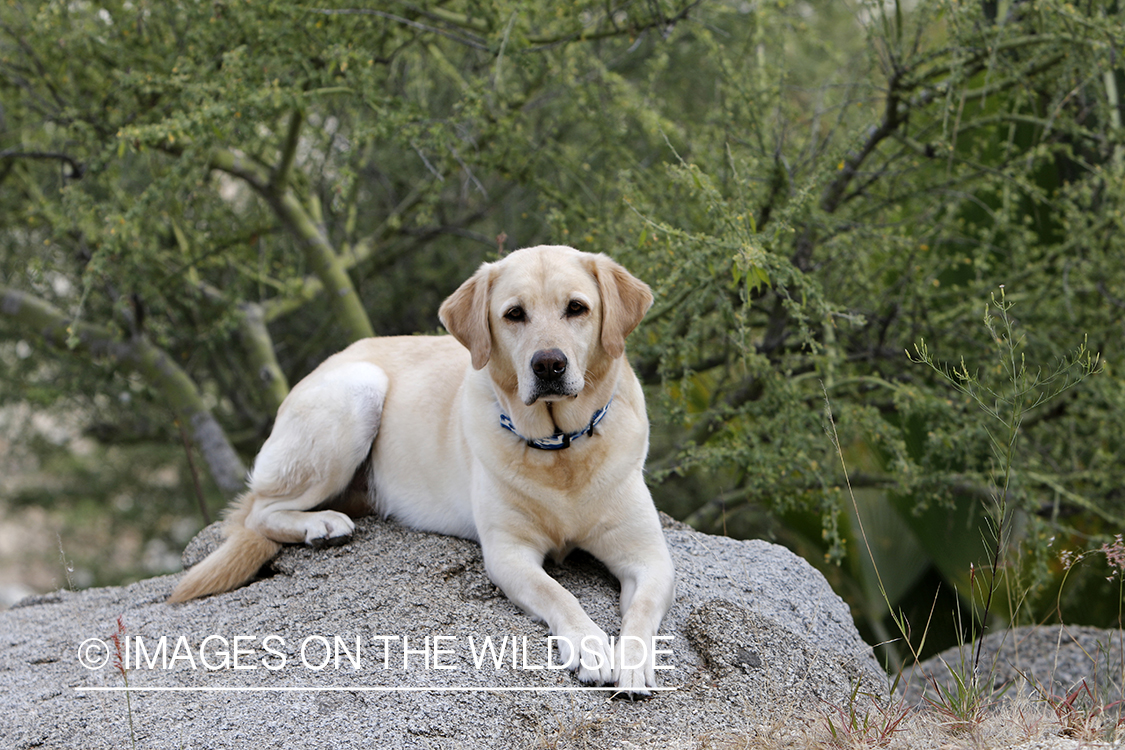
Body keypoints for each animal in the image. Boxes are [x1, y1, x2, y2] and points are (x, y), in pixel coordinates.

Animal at [165, 247, 670, 697]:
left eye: (576, 308)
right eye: (514, 314)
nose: (548, 364)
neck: (560, 449)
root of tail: (333, 358)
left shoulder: (649, 556)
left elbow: (644, 608)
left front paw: (633, 662)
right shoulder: (509, 554)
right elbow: (558, 594)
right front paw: (589, 646)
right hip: (357, 391)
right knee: (260, 511)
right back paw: (319, 525)